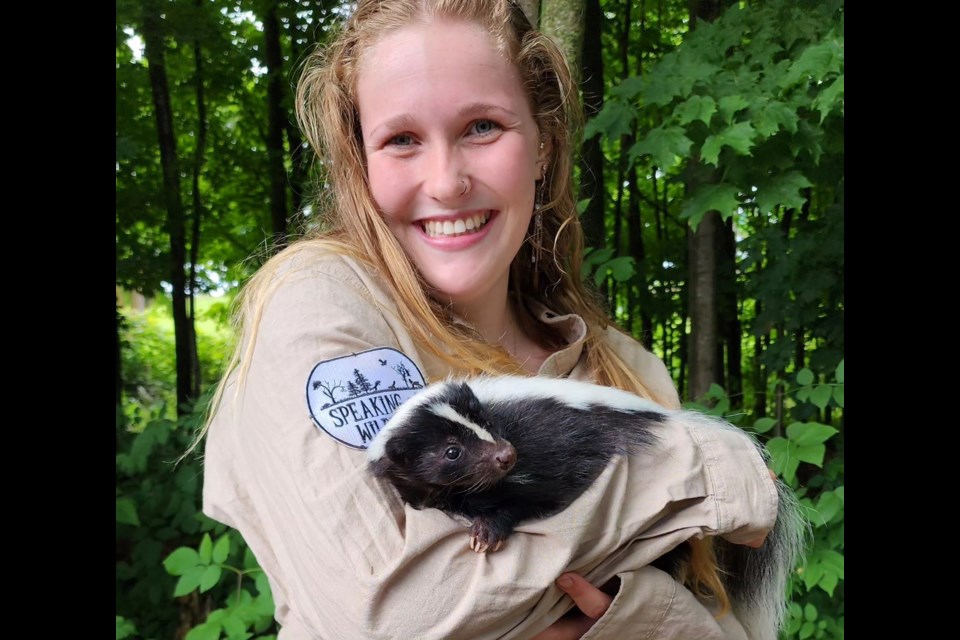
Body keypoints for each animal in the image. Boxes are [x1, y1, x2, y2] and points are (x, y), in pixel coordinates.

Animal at [368, 376, 808, 640]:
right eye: (451, 452)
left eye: (488, 425)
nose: (505, 455)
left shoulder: (552, 444)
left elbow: (548, 493)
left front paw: (488, 529)